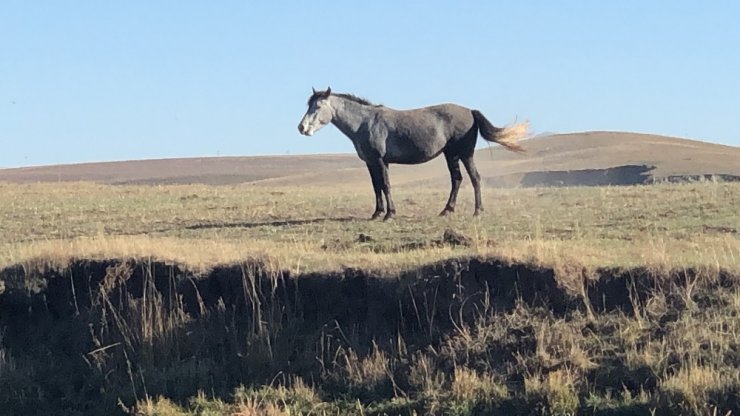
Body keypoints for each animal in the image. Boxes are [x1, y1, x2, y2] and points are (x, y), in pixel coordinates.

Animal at [294, 86, 528, 219]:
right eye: (309, 106)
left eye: (317, 107)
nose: (301, 128)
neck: (365, 122)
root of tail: (470, 111)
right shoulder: (370, 162)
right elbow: (376, 187)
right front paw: (377, 213)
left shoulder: (380, 160)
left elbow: (386, 185)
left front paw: (390, 214)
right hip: (450, 154)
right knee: (457, 179)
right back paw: (447, 210)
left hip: (464, 153)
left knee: (475, 178)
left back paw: (477, 211)